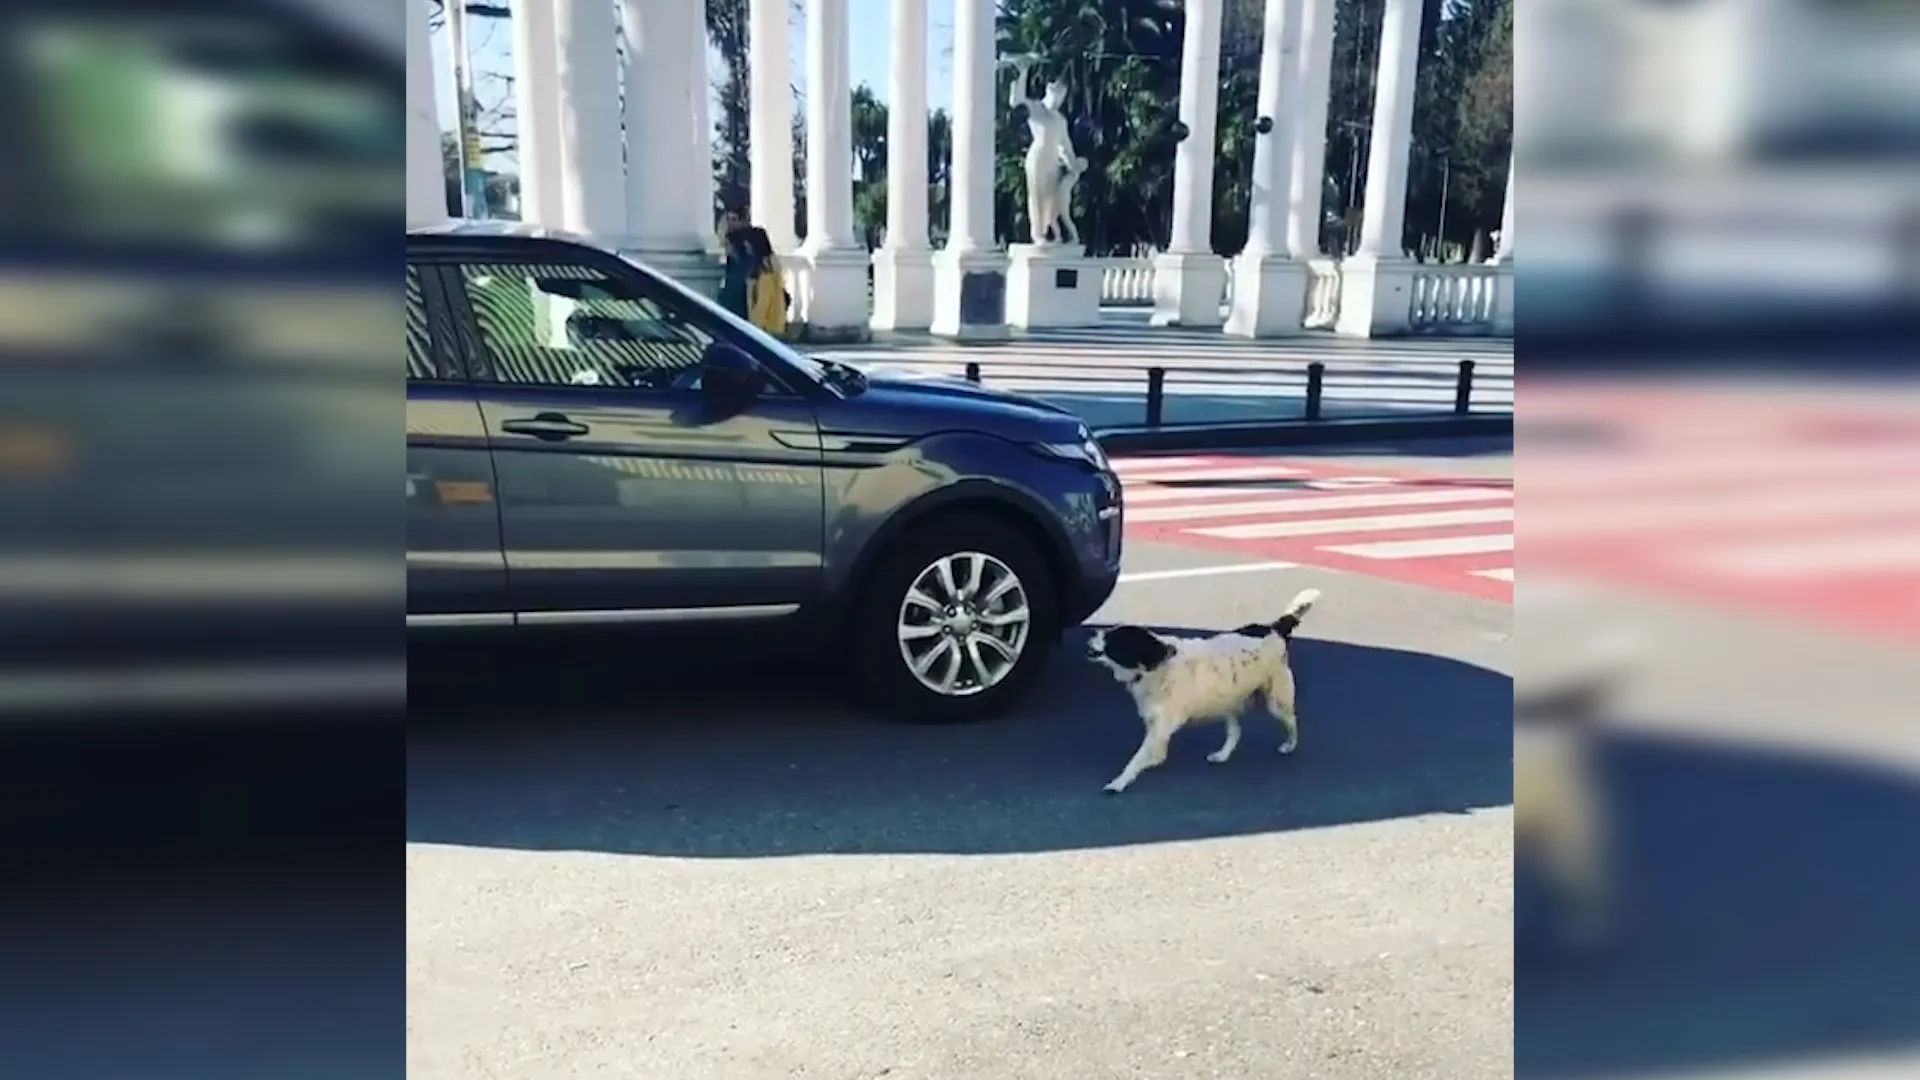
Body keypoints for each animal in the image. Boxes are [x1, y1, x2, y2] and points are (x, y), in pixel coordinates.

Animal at [1082, 588, 1320, 791]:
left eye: (1113, 639)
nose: (1092, 632)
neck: (1155, 665)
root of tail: (1274, 628)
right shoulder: (1155, 723)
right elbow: (1154, 752)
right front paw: (1154, 761)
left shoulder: (1161, 726)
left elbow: (1137, 758)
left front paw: (1119, 783)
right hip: (1227, 701)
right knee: (1236, 732)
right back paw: (1222, 755)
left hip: (1276, 701)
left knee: (1292, 721)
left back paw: (1289, 745)